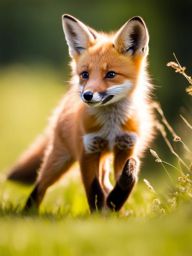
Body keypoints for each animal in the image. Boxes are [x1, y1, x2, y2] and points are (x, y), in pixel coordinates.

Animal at [7, 14, 154, 212]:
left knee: (106, 183)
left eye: (111, 74)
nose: (87, 95)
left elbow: (128, 180)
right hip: (59, 160)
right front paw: (99, 214)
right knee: (40, 185)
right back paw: (28, 212)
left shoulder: (126, 147)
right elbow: (94, 191)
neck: (111, 127)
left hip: (101, 159)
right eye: (85, 75)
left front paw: (114, 205)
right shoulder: (87, 150)